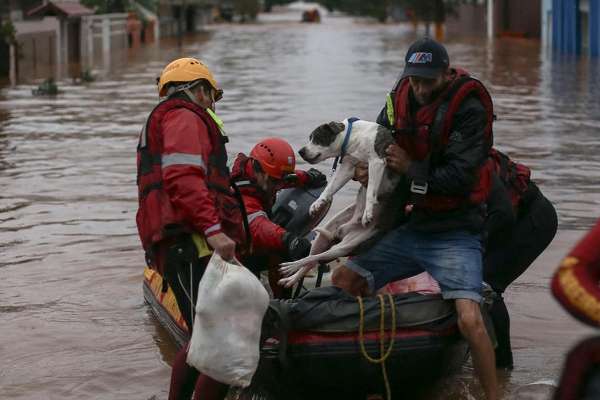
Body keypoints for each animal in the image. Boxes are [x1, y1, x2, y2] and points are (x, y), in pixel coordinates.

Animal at [278, 119, 400, 288]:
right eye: (310, 138)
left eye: (317, 138)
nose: (301, 151)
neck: (354, 138)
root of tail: (344, 229)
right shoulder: (348, 168)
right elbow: (330, 187)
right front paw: (318, 202)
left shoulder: (376, 162)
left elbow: (370, 191)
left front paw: (368, 212)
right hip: (324, 237)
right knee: (310, 260)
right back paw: (291, 276)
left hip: (345, 246)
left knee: (314, 258)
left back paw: (291, 267)